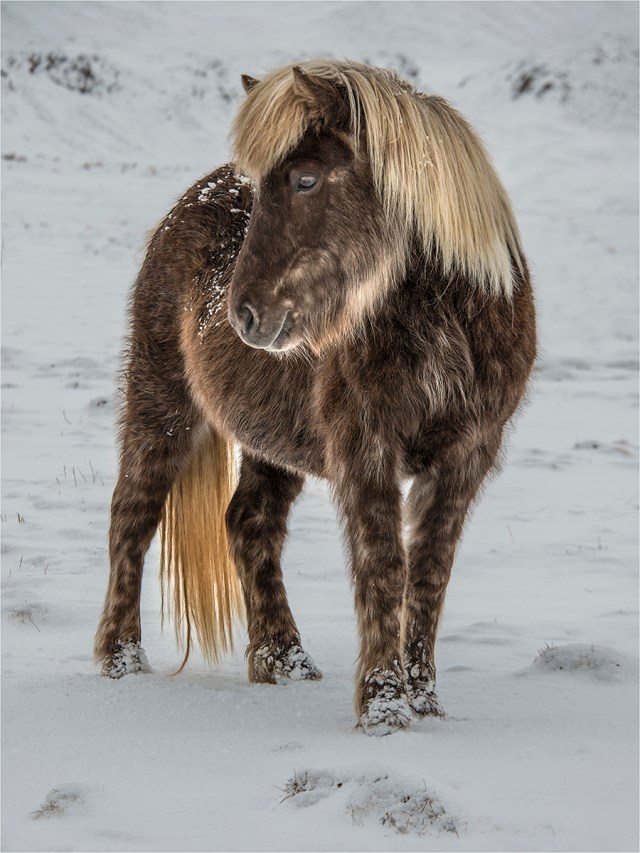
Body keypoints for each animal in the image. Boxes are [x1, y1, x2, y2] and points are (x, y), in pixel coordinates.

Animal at [95, 59, 536, 735]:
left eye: (306, 179)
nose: (244, 314)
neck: (444, 319)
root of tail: (190, 202)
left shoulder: (467, 456)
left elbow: (429, 575)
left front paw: (425, 705)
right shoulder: (365, 447)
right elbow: (384, 566)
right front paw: (384, 709)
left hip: (269, 438)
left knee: (249, 523)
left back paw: (284, 661)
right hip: (162, 403)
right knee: (132, 517)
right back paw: (121, 660)